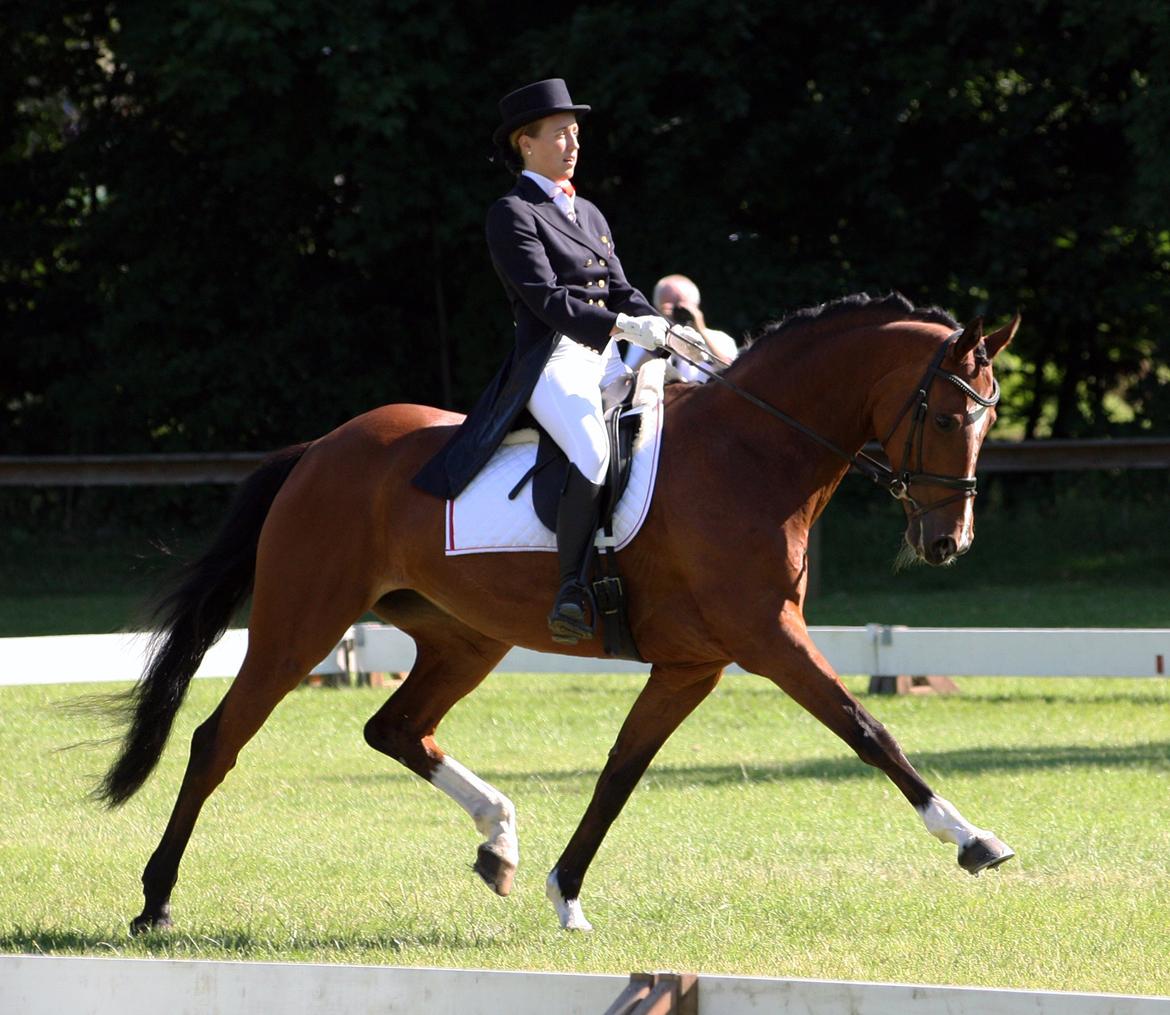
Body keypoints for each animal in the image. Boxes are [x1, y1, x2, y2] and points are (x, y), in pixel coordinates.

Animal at [98, 290, 1015, 930]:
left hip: (463, 638)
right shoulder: (767, 638)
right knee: (218, 740)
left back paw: (498, 838)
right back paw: (155, 900)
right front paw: (972, 838)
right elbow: (866, 728)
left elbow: (619, 770)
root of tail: (320, 449)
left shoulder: (694, 663)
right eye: (945, 414)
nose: (949, 541)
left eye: (991, 416)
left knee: (395, 728)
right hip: (301, 624)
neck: (751, 451)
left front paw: (566, 890)